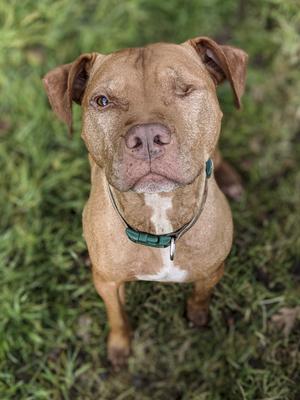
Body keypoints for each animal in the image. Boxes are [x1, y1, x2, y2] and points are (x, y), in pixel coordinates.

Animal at [43, 36, 247, 368]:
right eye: (103, 101)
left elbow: (200, 296)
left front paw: (197, 316)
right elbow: (116, 315)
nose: (148, 137)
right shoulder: (106, 282)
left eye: (184, 89)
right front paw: (119, 345)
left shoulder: (213, 270)